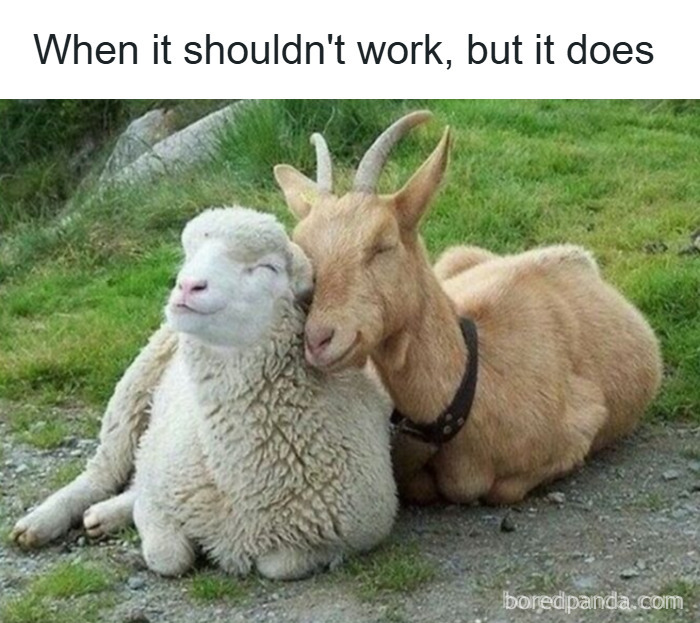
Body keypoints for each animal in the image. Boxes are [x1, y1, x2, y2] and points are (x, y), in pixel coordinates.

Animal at [14, 206, 397, 580]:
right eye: (189, 254)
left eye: (268, 268)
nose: (187, 286)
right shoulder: (159, 492)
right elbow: (168, 555)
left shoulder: (356, 531)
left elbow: (278, 565)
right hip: (135, 386)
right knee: (101, 471)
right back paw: (41, 521)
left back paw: (104, 515)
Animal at [274, 111, 663, 505]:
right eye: (302, 248)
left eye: (383, 244)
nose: (318, 339)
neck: (477, 384)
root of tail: (578, 256)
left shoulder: (584, 424)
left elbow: (502, 489)